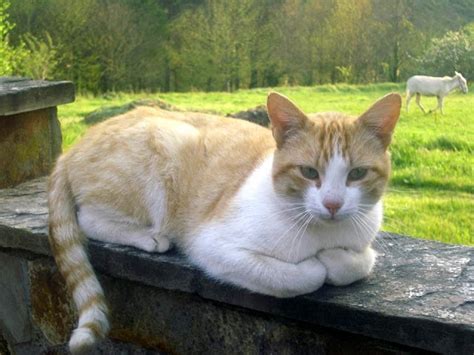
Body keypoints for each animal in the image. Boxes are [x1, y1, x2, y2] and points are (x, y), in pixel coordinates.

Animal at [48, 92, 402, 354]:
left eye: (357, 173)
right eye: (309, 172)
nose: (332, 204)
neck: (322, 233)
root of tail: (73, 147)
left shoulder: (364, 238)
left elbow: (360, 262)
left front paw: (338, 259)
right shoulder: (212, 246)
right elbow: (303, 276)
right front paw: (319, 264)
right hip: (163, 147)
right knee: (88, 218)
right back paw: (149, 238)